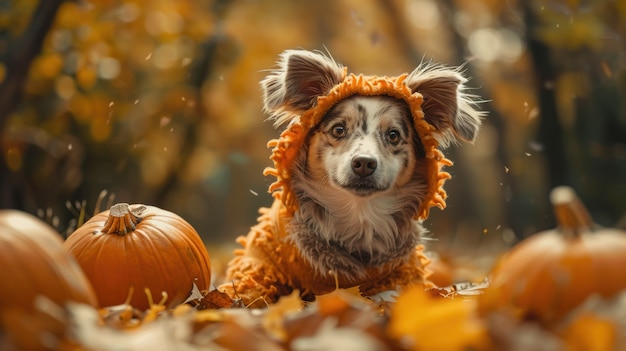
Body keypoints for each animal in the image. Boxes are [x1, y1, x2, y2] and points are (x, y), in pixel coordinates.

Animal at [217, 49, 480, 308]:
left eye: (393, 135)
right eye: (338, 129)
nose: (364, 163)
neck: (358, 214)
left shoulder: (402, 271)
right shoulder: (263, 263)